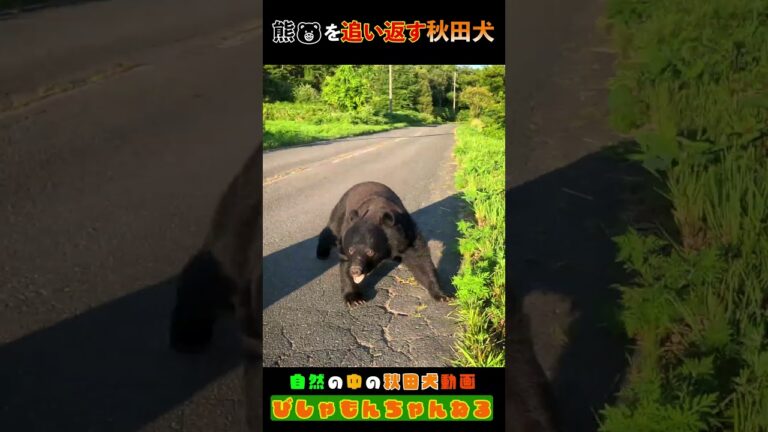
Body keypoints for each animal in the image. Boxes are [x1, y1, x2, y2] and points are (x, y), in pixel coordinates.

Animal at [316, 181, 450, 305]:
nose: (355, 270)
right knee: (331, 230)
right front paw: (354, 299)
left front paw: (442, 295)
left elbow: (420, 261)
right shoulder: (347, 234)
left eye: (370, 252)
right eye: (351, 250)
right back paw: (321, 253)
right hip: (342, 210)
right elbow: (345, 263)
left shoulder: (406, 235)